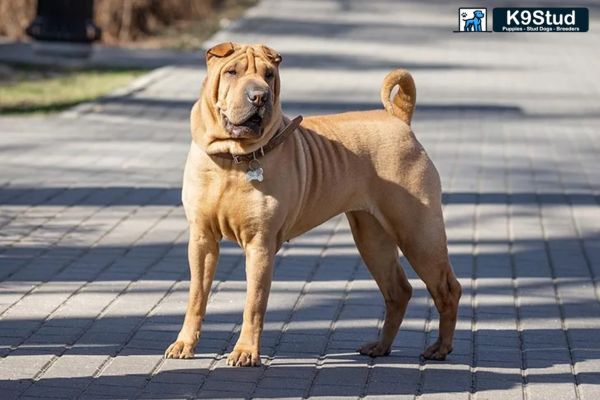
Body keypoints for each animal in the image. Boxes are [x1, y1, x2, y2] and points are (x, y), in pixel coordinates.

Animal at [165, 43, 464, 366]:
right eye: (232, 72)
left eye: (268, 75)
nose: (259, 96)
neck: (232, 159)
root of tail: (398, 118)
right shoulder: (202, 239)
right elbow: (196, 296)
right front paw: (184, 344)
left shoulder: (260, 244)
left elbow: (253, 303)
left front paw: (245, 351)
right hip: (372, 238)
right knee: (399, 291)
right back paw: (381, 346)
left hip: (418, 234)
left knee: (448, 289)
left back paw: (440, 348)